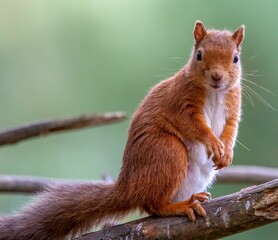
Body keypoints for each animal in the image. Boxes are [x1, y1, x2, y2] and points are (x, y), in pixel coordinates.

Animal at [0, 21, 243, 239]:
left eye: (235, 58)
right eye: (199, 55)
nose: (217, 77)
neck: (215, 93)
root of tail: (129, 186)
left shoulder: (233, 107)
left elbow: (231, 129)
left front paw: (227, 151)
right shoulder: (181, 102)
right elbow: (193, 125)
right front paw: (213, 142)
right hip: (167, 151)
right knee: (153, 204)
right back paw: (180, 206)